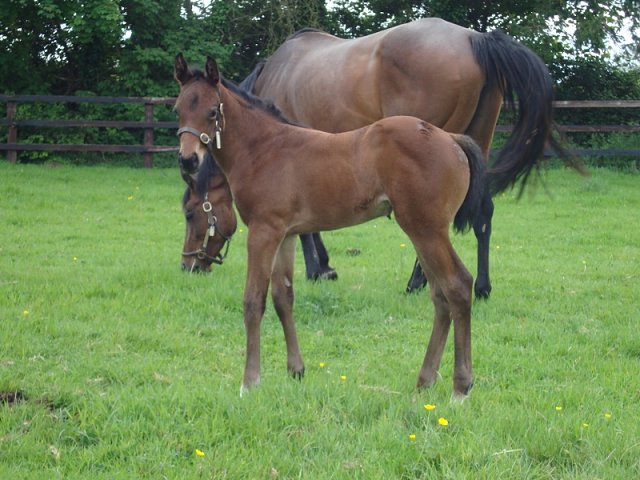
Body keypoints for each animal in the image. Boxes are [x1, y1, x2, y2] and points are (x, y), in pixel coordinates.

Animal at [174, 52, 496, 398]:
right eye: (177, 109)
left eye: (212, 111)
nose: (188, 160)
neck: (264, 149)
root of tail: (451, 138)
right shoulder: (286, 235)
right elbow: (283, 298)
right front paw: (296, 370)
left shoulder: (263, 232)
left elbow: (253, 301)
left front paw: (250, 381)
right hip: (421, 232)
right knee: (439, 295)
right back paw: (425, 380)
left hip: (427, 230)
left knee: (458, 286)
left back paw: (460, 387)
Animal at [238, 18, 572, 298]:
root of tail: (473, 38)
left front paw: (319, 268)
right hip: (478, 143)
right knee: (483, 214)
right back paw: (481, 287)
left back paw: (418, 281)